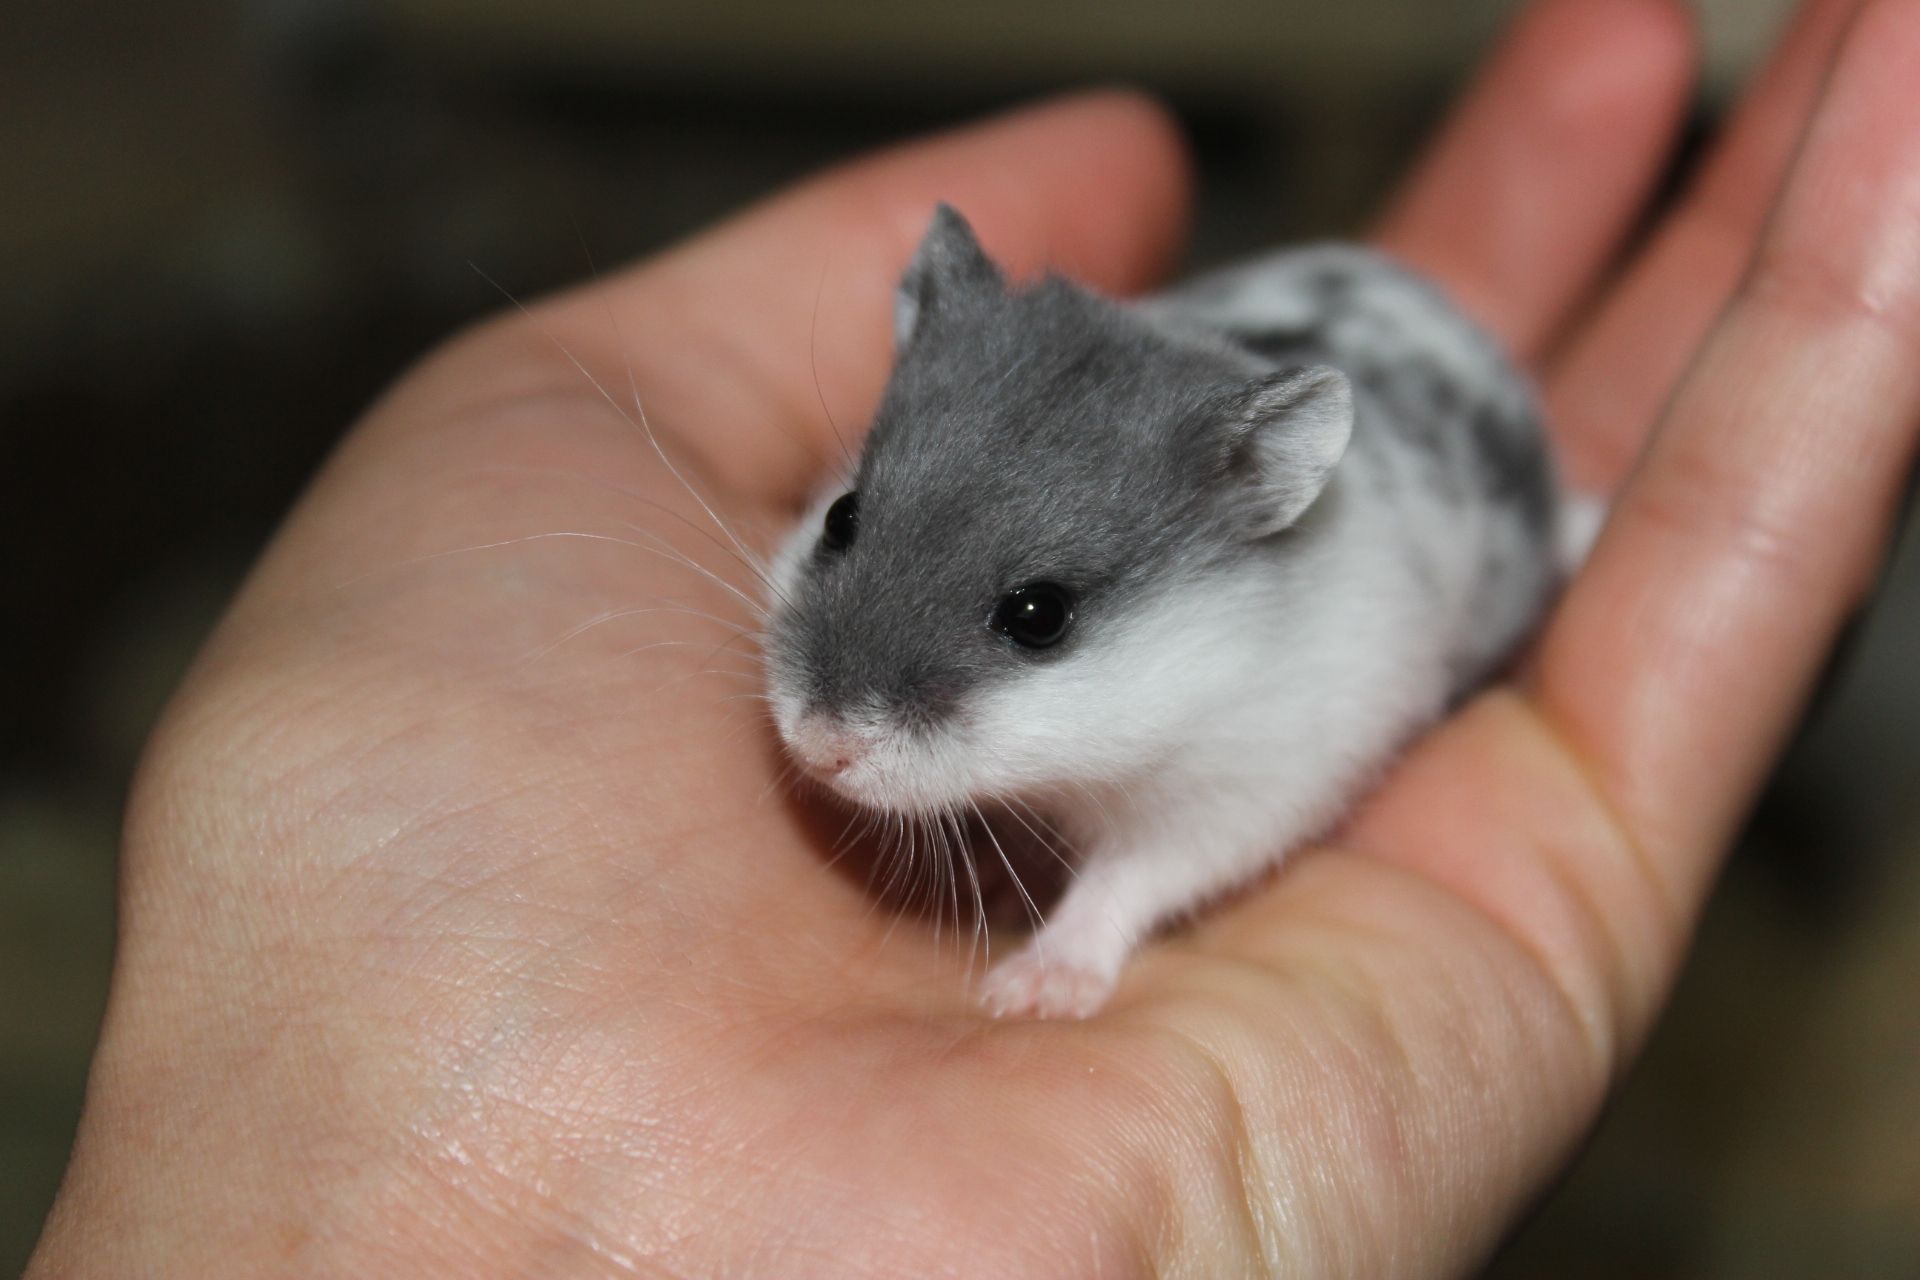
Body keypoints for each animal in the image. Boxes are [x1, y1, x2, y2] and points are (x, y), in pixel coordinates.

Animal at [762, 204, 1579, 1019]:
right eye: (840, 517)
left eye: (1038, 615)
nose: (819, 748)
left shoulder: (1235, 798)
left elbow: (1123, 881)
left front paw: (1028, 993)